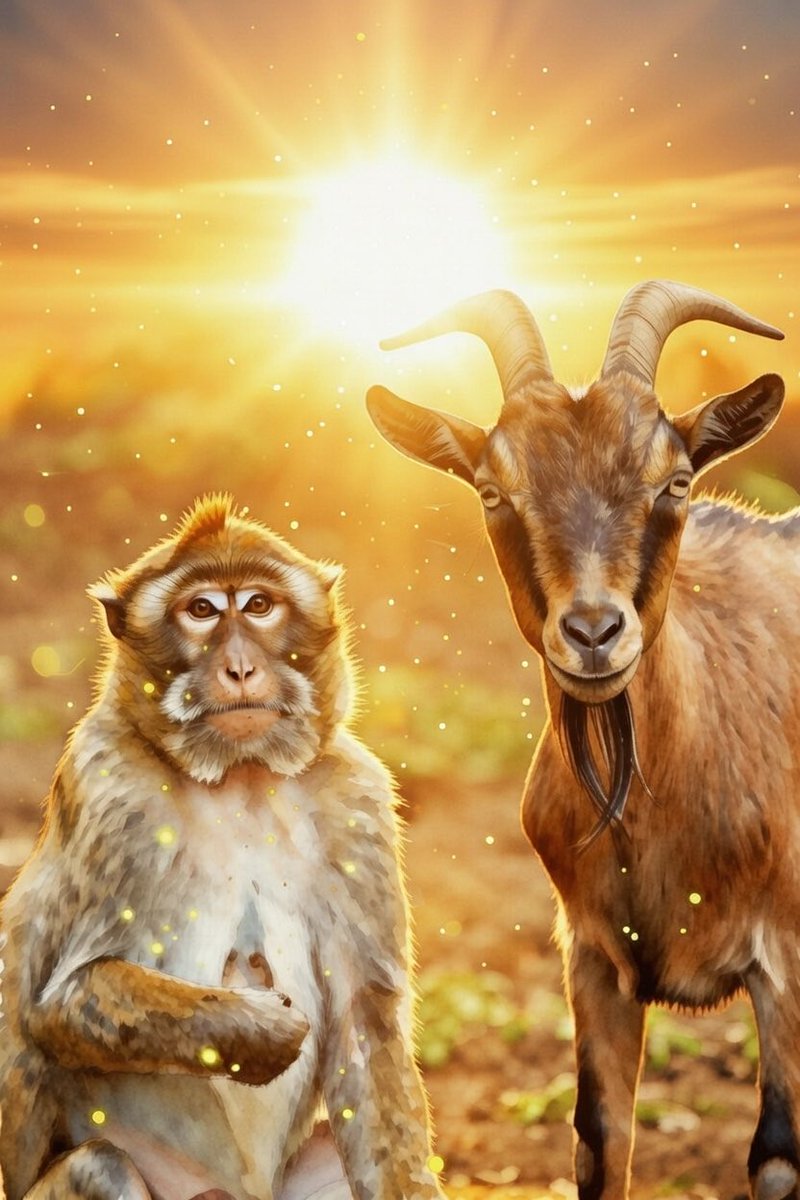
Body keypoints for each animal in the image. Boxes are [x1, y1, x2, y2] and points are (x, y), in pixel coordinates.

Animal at [0, 494, 444, 1200]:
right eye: (202, 610)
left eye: (259, 605)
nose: (239, 667)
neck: (240, 777)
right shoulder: (109, 790)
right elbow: (61, 1004)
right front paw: (259, 1030)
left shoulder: (358, 801)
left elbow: (365, 1026)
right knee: (104, 1164)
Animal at [366, 280, 797, 1200]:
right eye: (492, 490)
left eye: (676, 478)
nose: (594, 632)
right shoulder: (593, 959)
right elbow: (599, 1140)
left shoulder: (787, 958)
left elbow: (776, 1155)